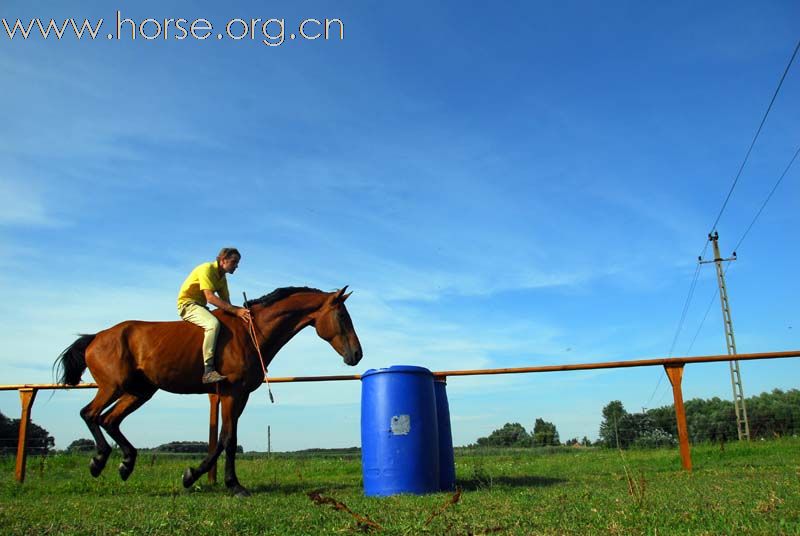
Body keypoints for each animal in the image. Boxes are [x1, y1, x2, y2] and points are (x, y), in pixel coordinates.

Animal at [53, 286, 360, 496]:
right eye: (342, 316)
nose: (357, 354)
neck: (251, 334)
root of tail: (96, 337)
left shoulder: (239, 395)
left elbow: (226, 439)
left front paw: (211, 479)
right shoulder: (232, 393)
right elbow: (227, 439)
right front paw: (216, 481)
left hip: (139, 392)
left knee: (109, 420)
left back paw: (125, 464)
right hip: (113, 387)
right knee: (90, 414)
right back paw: (98, 461)